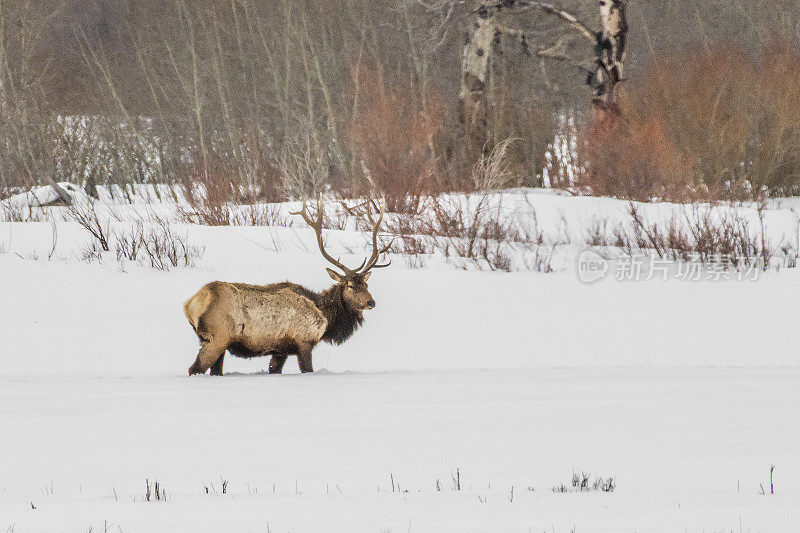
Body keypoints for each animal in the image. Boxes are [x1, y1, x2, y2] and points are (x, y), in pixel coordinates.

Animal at [184, 197, 390, 376]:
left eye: (366, 284)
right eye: (350, 285)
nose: (371, 302)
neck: (326, 316)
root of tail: (191, 305)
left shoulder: (280, 349)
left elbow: (274, 369)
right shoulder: (304, 341)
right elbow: (307, 369)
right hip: (217, 338)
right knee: (195, 369)